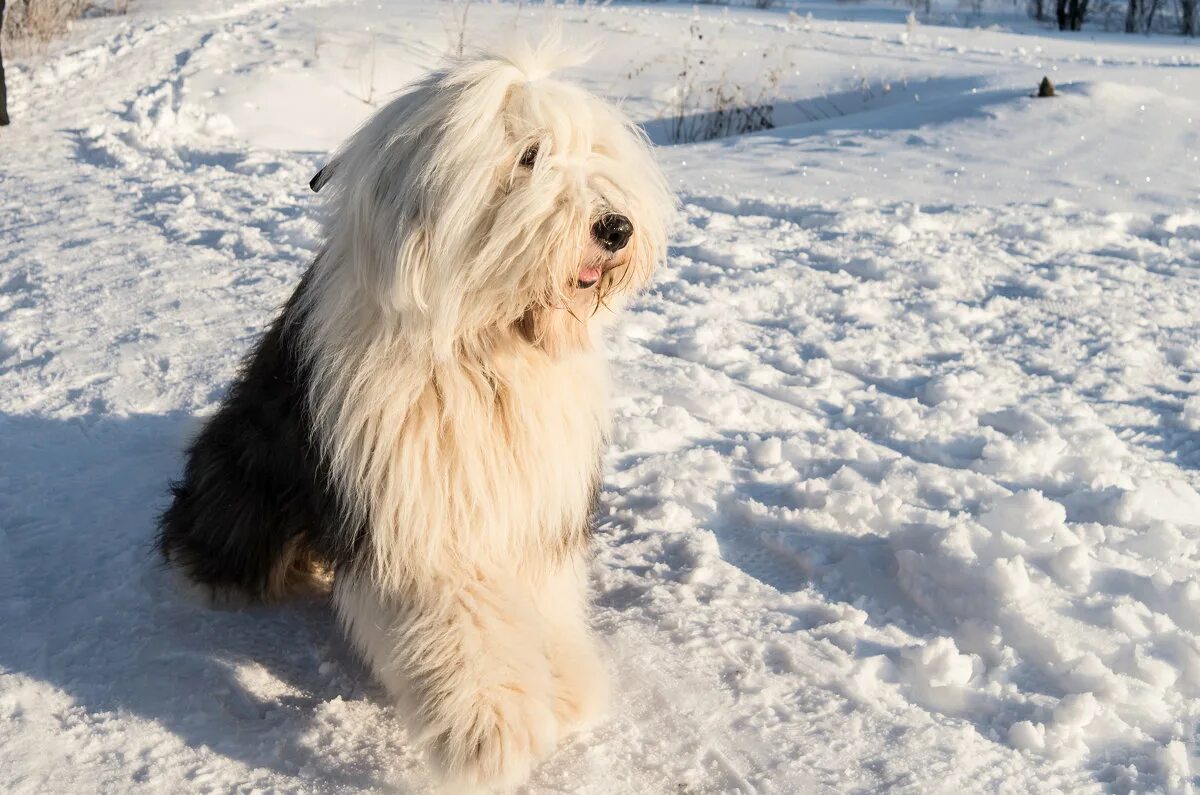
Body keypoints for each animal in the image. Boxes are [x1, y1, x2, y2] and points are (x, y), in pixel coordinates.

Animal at [157, 39, 676, 792]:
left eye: (596, 151)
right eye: (529, 156)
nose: (616, 228)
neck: (483, 350)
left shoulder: (528, 491)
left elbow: (541, 592)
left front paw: (564, 685)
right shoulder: (414, 500)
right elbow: (456, 614)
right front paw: (492, 728)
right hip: (246, 477)